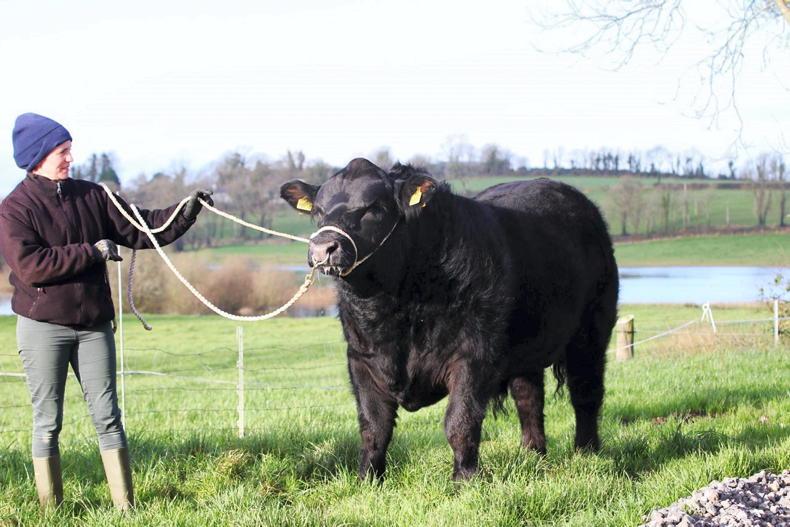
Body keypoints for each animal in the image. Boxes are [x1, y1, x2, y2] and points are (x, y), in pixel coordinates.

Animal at [280, 158, 618, 480]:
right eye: (319, 211)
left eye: (373, 208)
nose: (323, 247)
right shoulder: (361, 359)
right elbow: (374, 427)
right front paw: (368, 479)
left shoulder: (473, 356)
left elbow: (460, 421)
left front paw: (464, 480)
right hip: (527, 346)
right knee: (529, 397)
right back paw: (532, 453)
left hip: (592, 330)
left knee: (586, 392)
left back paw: (587, 452)